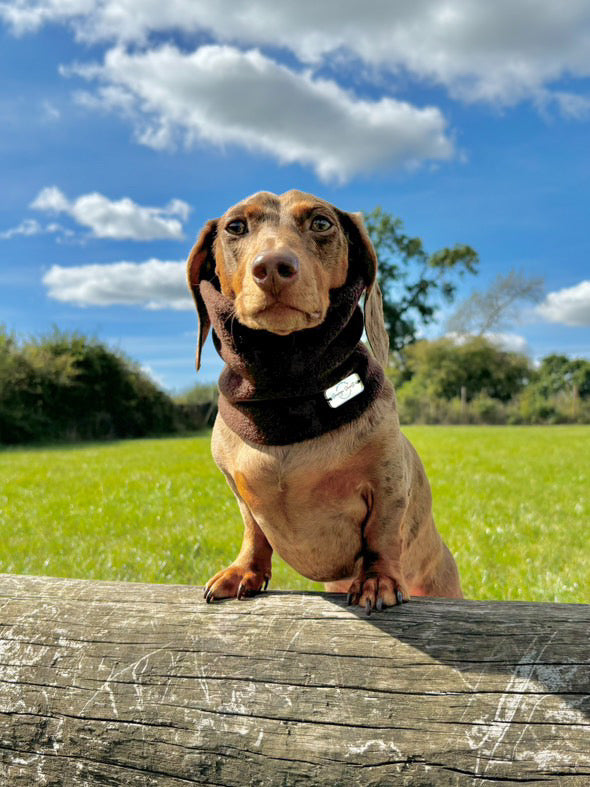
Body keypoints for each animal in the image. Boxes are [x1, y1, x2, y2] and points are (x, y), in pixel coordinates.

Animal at [187, 188, 464, 612]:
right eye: (235, 226)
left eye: (321, 222)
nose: (273, 266)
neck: (289, 397)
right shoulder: (238, 489)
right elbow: (253, 530)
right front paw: (244, 572)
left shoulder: (388, 481)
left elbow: (382, 534)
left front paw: (377, 581)